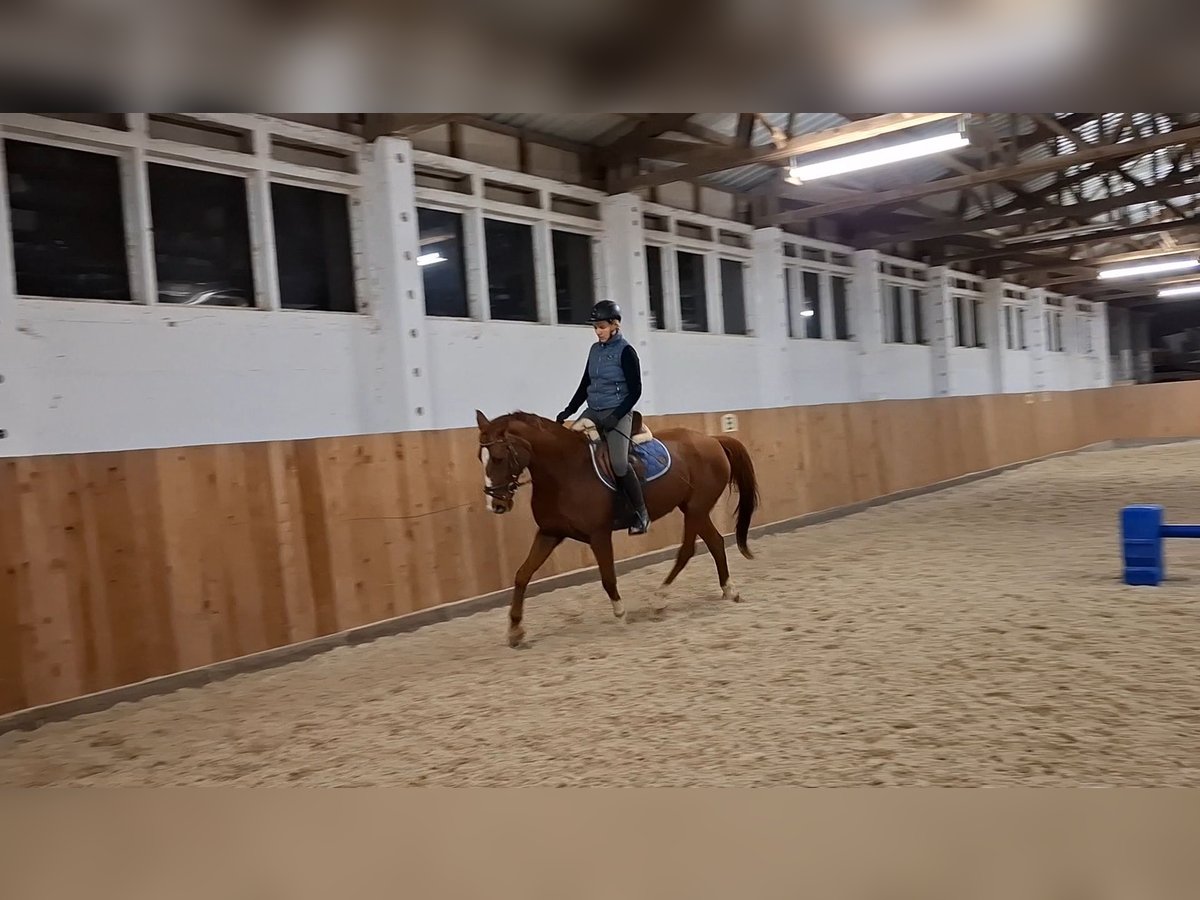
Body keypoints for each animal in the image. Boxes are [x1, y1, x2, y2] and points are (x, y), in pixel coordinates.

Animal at [470, 408, 758, 648]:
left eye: (498, 457)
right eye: (479, 458)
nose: (496, 504)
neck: (564, 471)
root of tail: (712, 440)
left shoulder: (599, 535)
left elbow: (608, 577)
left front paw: (620, 614)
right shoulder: (550, 533)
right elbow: (522, 575)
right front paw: (515, 631)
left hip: (696, 509)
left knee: (687, 550)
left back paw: (660, 598)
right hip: (693, 509)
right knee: (715, 542)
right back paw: (728, 590)